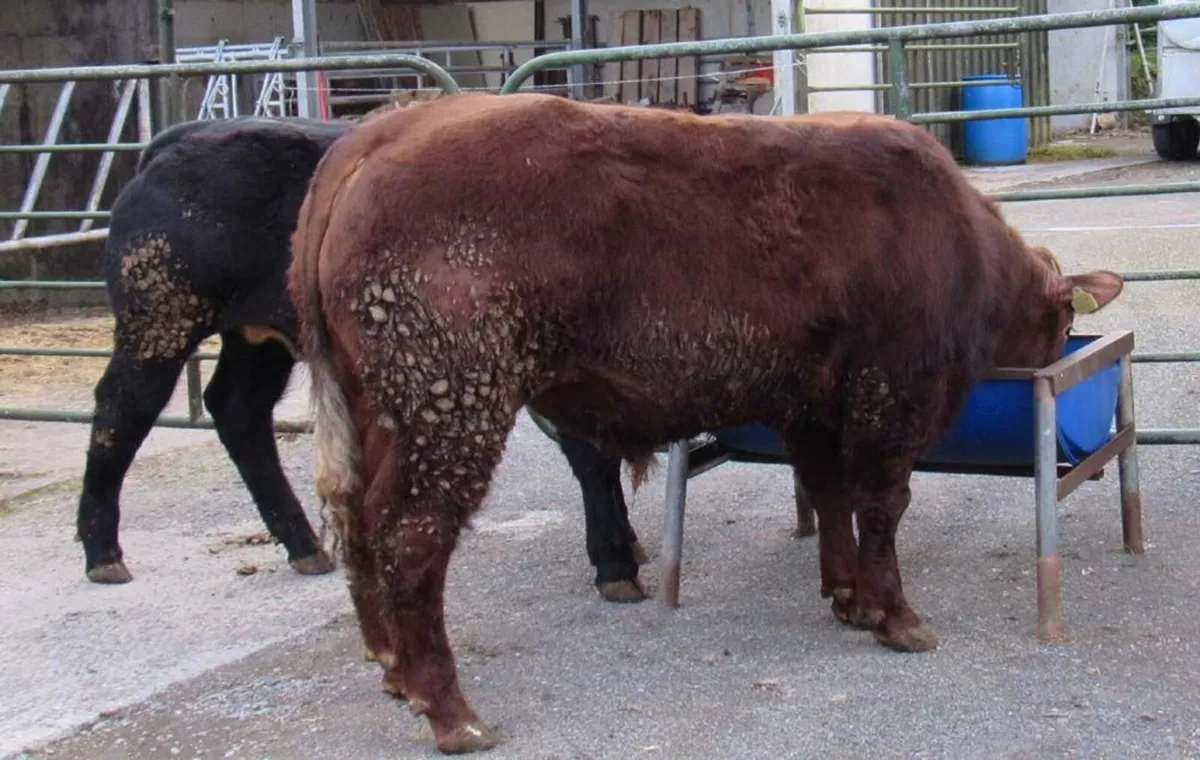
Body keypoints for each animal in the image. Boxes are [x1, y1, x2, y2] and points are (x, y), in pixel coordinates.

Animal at [75, 114, 651, 603]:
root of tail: (183, 138)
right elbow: (593, 458)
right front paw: (616, 564)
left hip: (258, 338)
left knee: (237, 409)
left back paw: (305, 546)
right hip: (160, 321)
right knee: (122, 410)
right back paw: (103, 554)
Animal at [287, 91, 1124, 754]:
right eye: (1058, 323)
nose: (1060, 347)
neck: (960, 242)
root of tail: (383, 133)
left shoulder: (810, 406)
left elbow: (832, 497)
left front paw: (847, 596)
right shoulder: (894, 395)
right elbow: (883, 505)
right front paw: (897, 616)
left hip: (377, 412)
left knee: (358, 521)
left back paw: (393, 669)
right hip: (451, 404)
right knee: (411, 536)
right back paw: (451, 711)